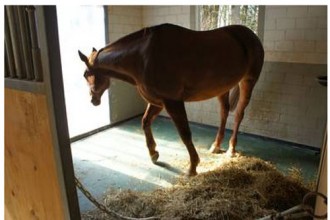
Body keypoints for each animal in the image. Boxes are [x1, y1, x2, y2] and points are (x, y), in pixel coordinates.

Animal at [78, 23, 264, 176]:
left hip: (248, 81)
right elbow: (145, 122)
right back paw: (216, 146)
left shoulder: (172, 101)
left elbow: (184, 133)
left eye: (86, 74)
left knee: (239, 114)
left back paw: (231, 149)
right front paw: (153, 154)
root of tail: (251, 35)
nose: (93, 100)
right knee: (224, 112)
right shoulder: (158, 102)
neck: (142, 57)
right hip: (222, 88)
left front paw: (192, 167)